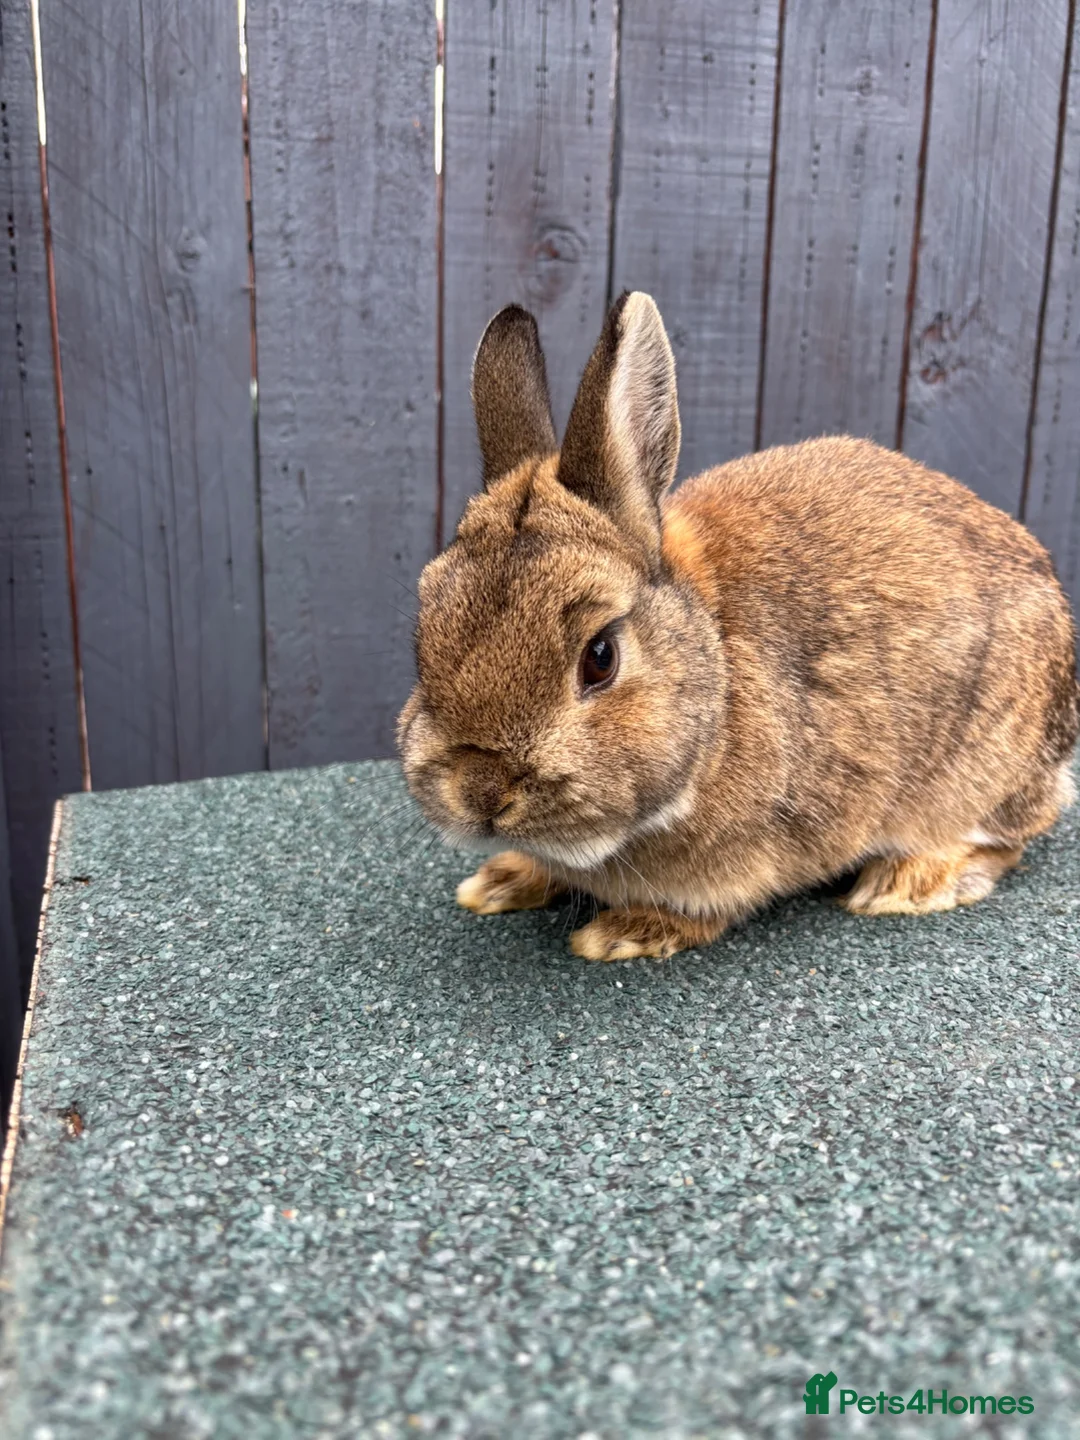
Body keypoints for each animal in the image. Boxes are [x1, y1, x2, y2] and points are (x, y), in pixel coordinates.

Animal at [397, 291, 1078, 960]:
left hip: (975, 776)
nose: (481, 793)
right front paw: (499, 882)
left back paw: (902, 885)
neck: (716, 680)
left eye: (601, 657)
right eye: (424, 635)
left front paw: (621, 933)